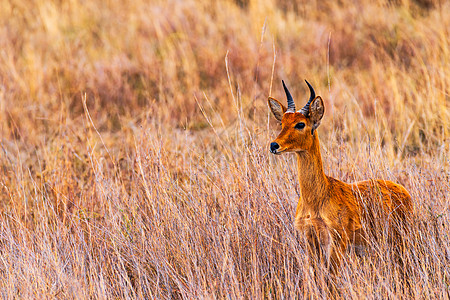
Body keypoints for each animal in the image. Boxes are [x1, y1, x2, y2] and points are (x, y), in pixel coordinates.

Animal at [268, 79, 414, 270]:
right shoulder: (310, 241)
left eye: (300, 123)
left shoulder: (337, 243)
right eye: (282, 123)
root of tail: (403, 190)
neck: (316, 199)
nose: (274, 145)